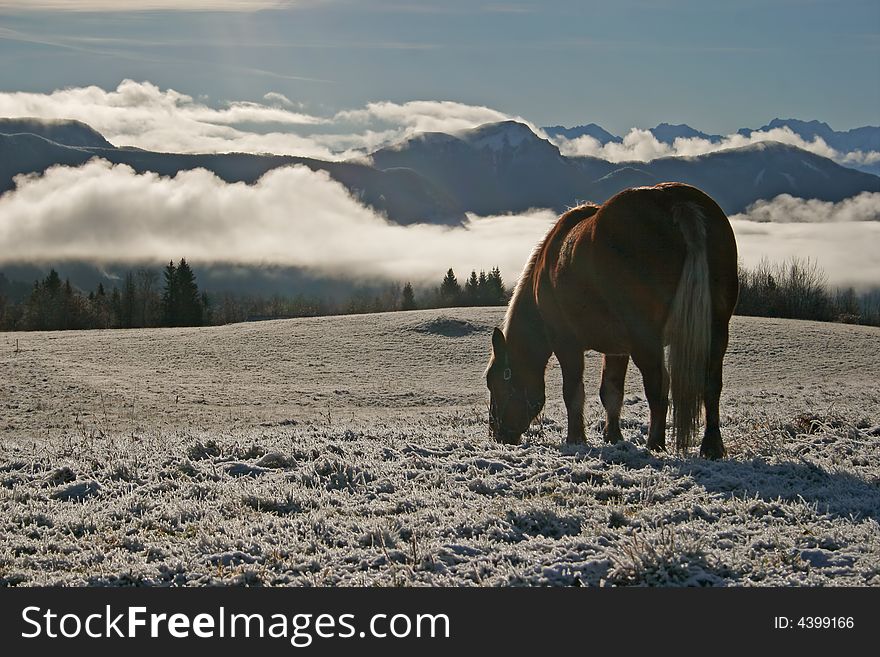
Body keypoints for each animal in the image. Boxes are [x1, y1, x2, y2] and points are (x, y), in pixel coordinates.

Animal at [484, 179, 740, 456]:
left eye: (496, 381)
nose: (498, 434)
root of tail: (674, 201)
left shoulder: (566, 343)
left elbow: (573, 391)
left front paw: (576, 439)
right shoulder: (618, 348)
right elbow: (611, 390)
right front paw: (613, 436)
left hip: (646, 340)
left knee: (659, 387)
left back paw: (655, 443)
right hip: (716, 332)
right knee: (711, 386)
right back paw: (711, 447)